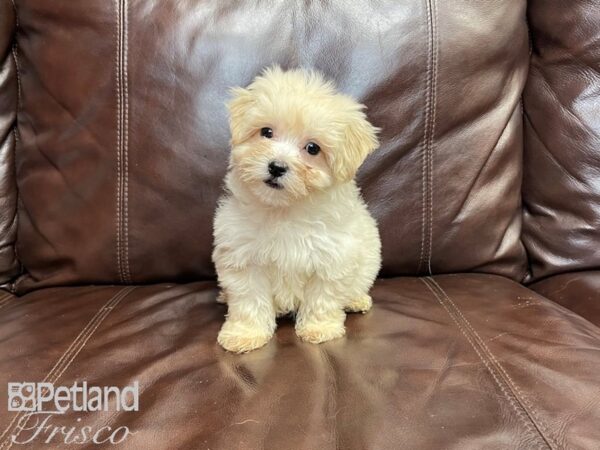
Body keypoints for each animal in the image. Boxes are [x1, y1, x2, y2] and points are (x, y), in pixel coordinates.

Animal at [212, 67, 380, 356]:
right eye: (266, 132)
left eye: (313, 148)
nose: (277, 167)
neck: (285, 209)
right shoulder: (243, 256)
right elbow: (249, 300)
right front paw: (246, 334)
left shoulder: (331, 256)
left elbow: (323, 297)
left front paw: (319, 328)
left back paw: (356, 299)